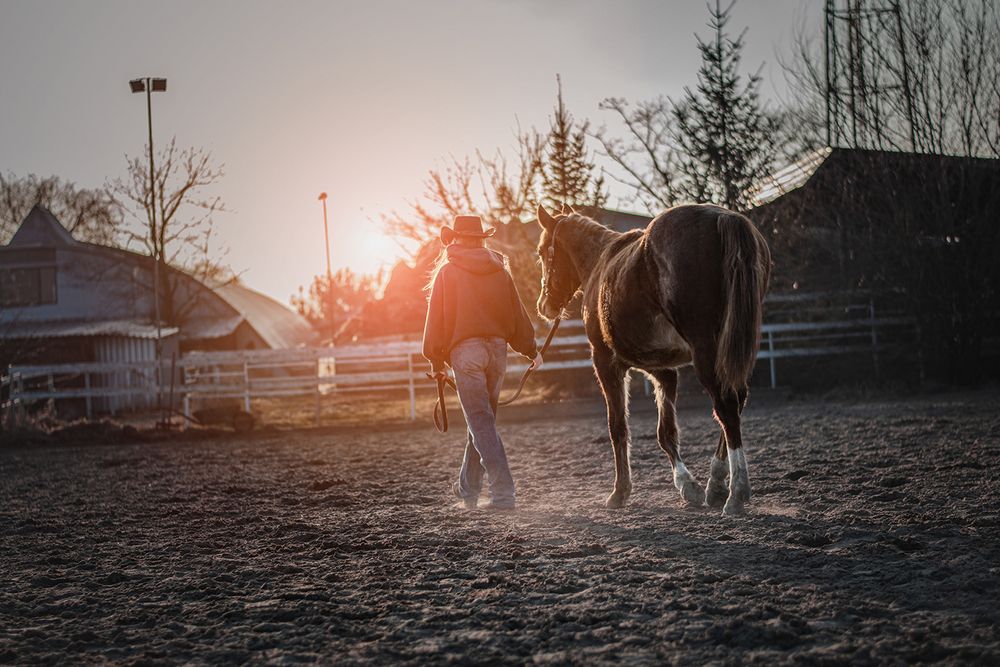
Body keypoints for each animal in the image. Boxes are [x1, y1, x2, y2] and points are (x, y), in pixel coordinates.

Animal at [535, 203, 771, 515]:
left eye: (541, 251)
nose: (544, 306)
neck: (599, 262)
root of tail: (722, 217)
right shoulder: (663, 370)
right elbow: (666, 432)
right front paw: (688, 486)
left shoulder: (606, 363)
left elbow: (617, 427)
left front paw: (620, 492)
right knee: (736, 402)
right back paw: (716, 485)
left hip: (706, 352)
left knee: (727, 407)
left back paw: (736, 493)